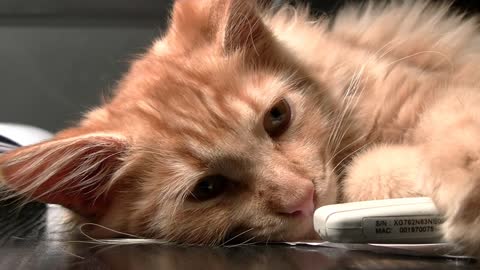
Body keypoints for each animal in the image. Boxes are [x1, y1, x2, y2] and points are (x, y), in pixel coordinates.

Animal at [0, 0, 480, 253]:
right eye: (207, 189)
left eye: (277, 117)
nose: (303, 197)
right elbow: (364, 176)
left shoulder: (433, 88)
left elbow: (454, 119)